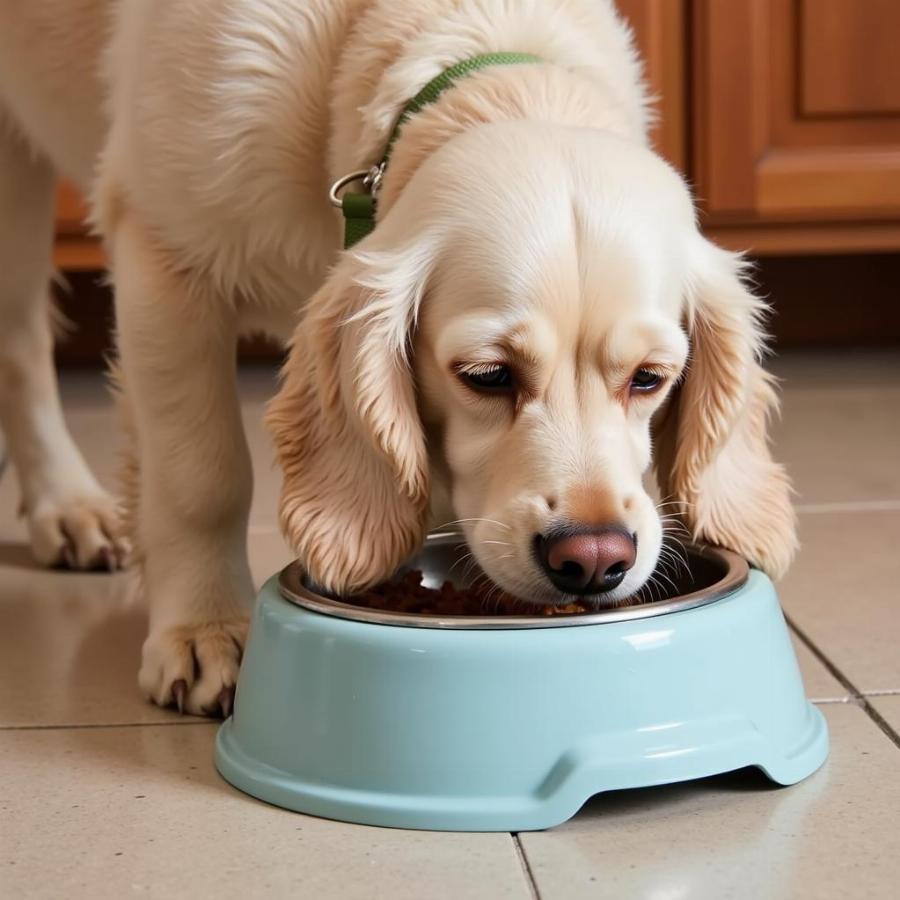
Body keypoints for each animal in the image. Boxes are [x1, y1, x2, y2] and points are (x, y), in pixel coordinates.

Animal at [0, 1, 796, 716]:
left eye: (650, 379)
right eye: (488, 376)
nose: (594, 559)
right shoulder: (165, 256)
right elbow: (202, 477)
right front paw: (206, 630)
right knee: (23, 343)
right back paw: (68, 504)